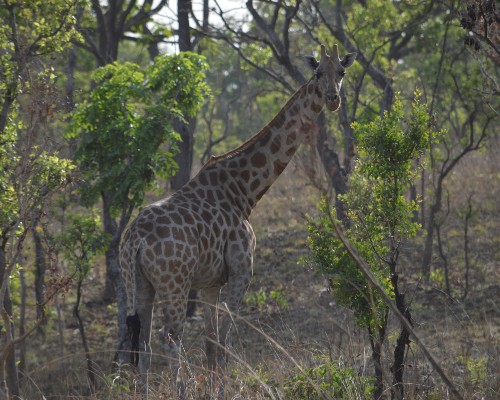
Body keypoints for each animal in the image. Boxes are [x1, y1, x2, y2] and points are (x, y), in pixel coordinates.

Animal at [120, 44, 356, 396]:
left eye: (341, 71)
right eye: (316, 73)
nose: (332, 99)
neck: (244, 189)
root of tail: (135, 240)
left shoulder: (210, 283)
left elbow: (211, 344)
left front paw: (214, 390)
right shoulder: (243, 268)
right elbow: (226, 342)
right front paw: (224, 391)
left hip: (136, 282)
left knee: (145, 344)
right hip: (174, 283)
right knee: (170, 338)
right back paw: (181, 389)